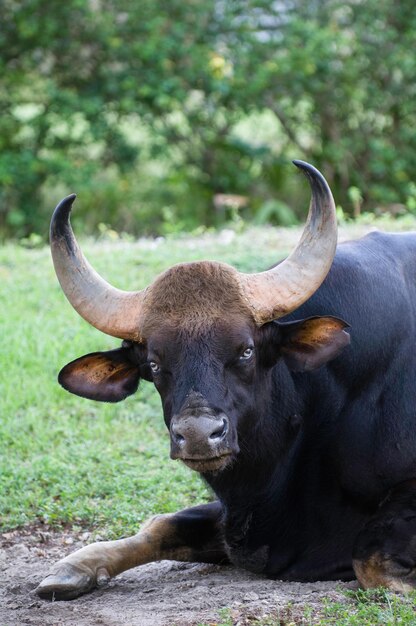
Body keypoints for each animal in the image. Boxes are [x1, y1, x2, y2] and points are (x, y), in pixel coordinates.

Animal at [36, 162, 416, 600]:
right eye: (154, 364)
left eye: (246, 350)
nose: (199, 435)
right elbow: (162, 523)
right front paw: (76, 567)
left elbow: (371, 560)